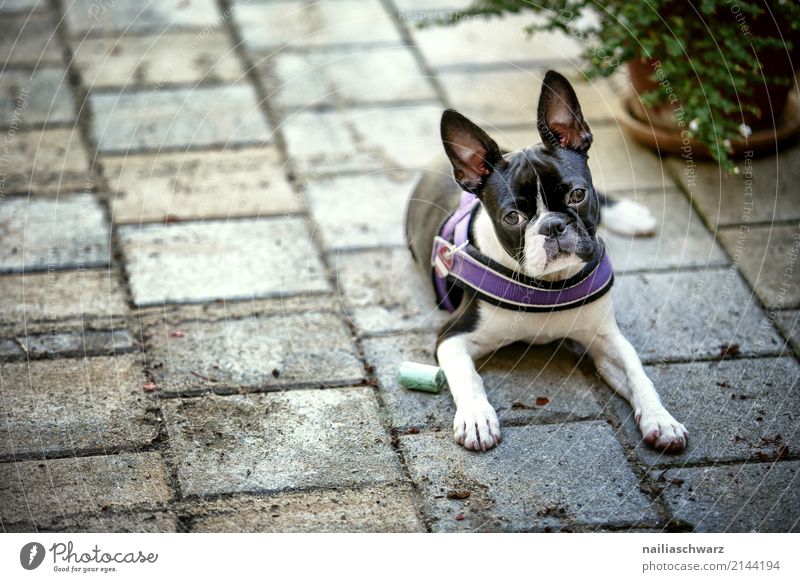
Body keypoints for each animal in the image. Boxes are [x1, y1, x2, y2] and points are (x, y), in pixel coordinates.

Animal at [406, 70, 688, 456]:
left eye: (577, 194)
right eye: (512, 217)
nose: (552, 226)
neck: (549, 286)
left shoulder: (607, 339)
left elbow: (638, 374)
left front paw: (662, 420)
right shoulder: (452, 336)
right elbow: (468, 377)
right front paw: (477, 418)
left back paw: (630, 214)